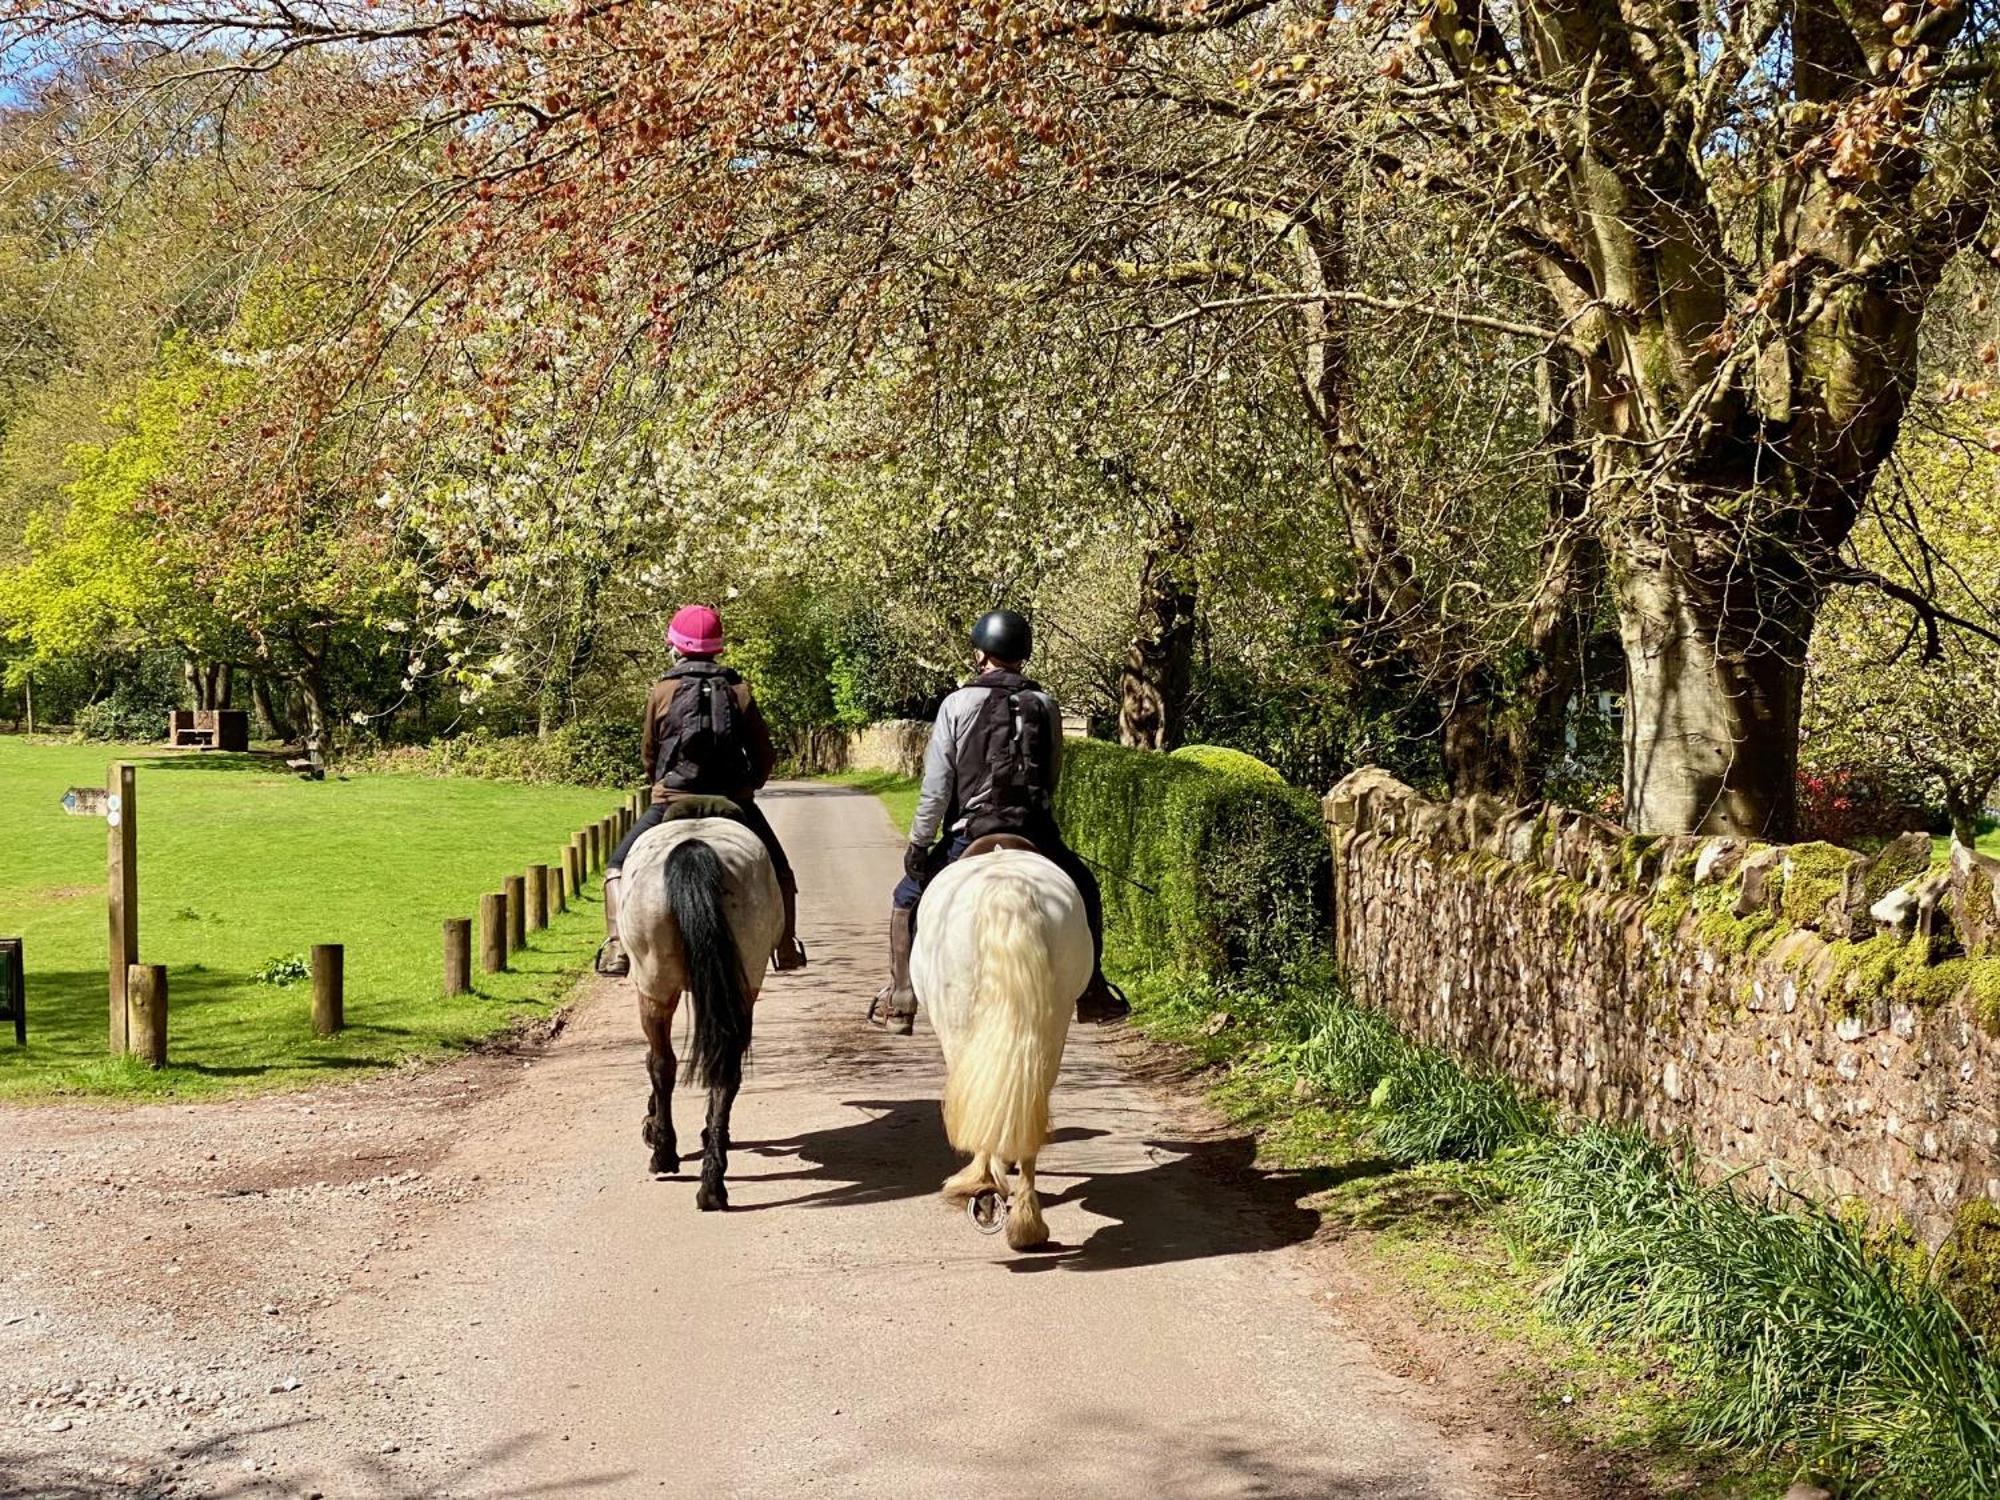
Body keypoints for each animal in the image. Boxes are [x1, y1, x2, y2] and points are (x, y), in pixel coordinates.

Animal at [620, 816, 784, 1216]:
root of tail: (693, 847)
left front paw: (653, 1128)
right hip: (742, 985)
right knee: (724, 1070)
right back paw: (712, 1182)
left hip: (653, 987)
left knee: (661, 1063)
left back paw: (665, 1154)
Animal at [912, 840, 1096, 1248]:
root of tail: (1006, 889)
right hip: (1052, 1024)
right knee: (1031, 1097)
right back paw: (1026, 1222)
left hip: (957, 1024)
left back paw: (986, 1192)